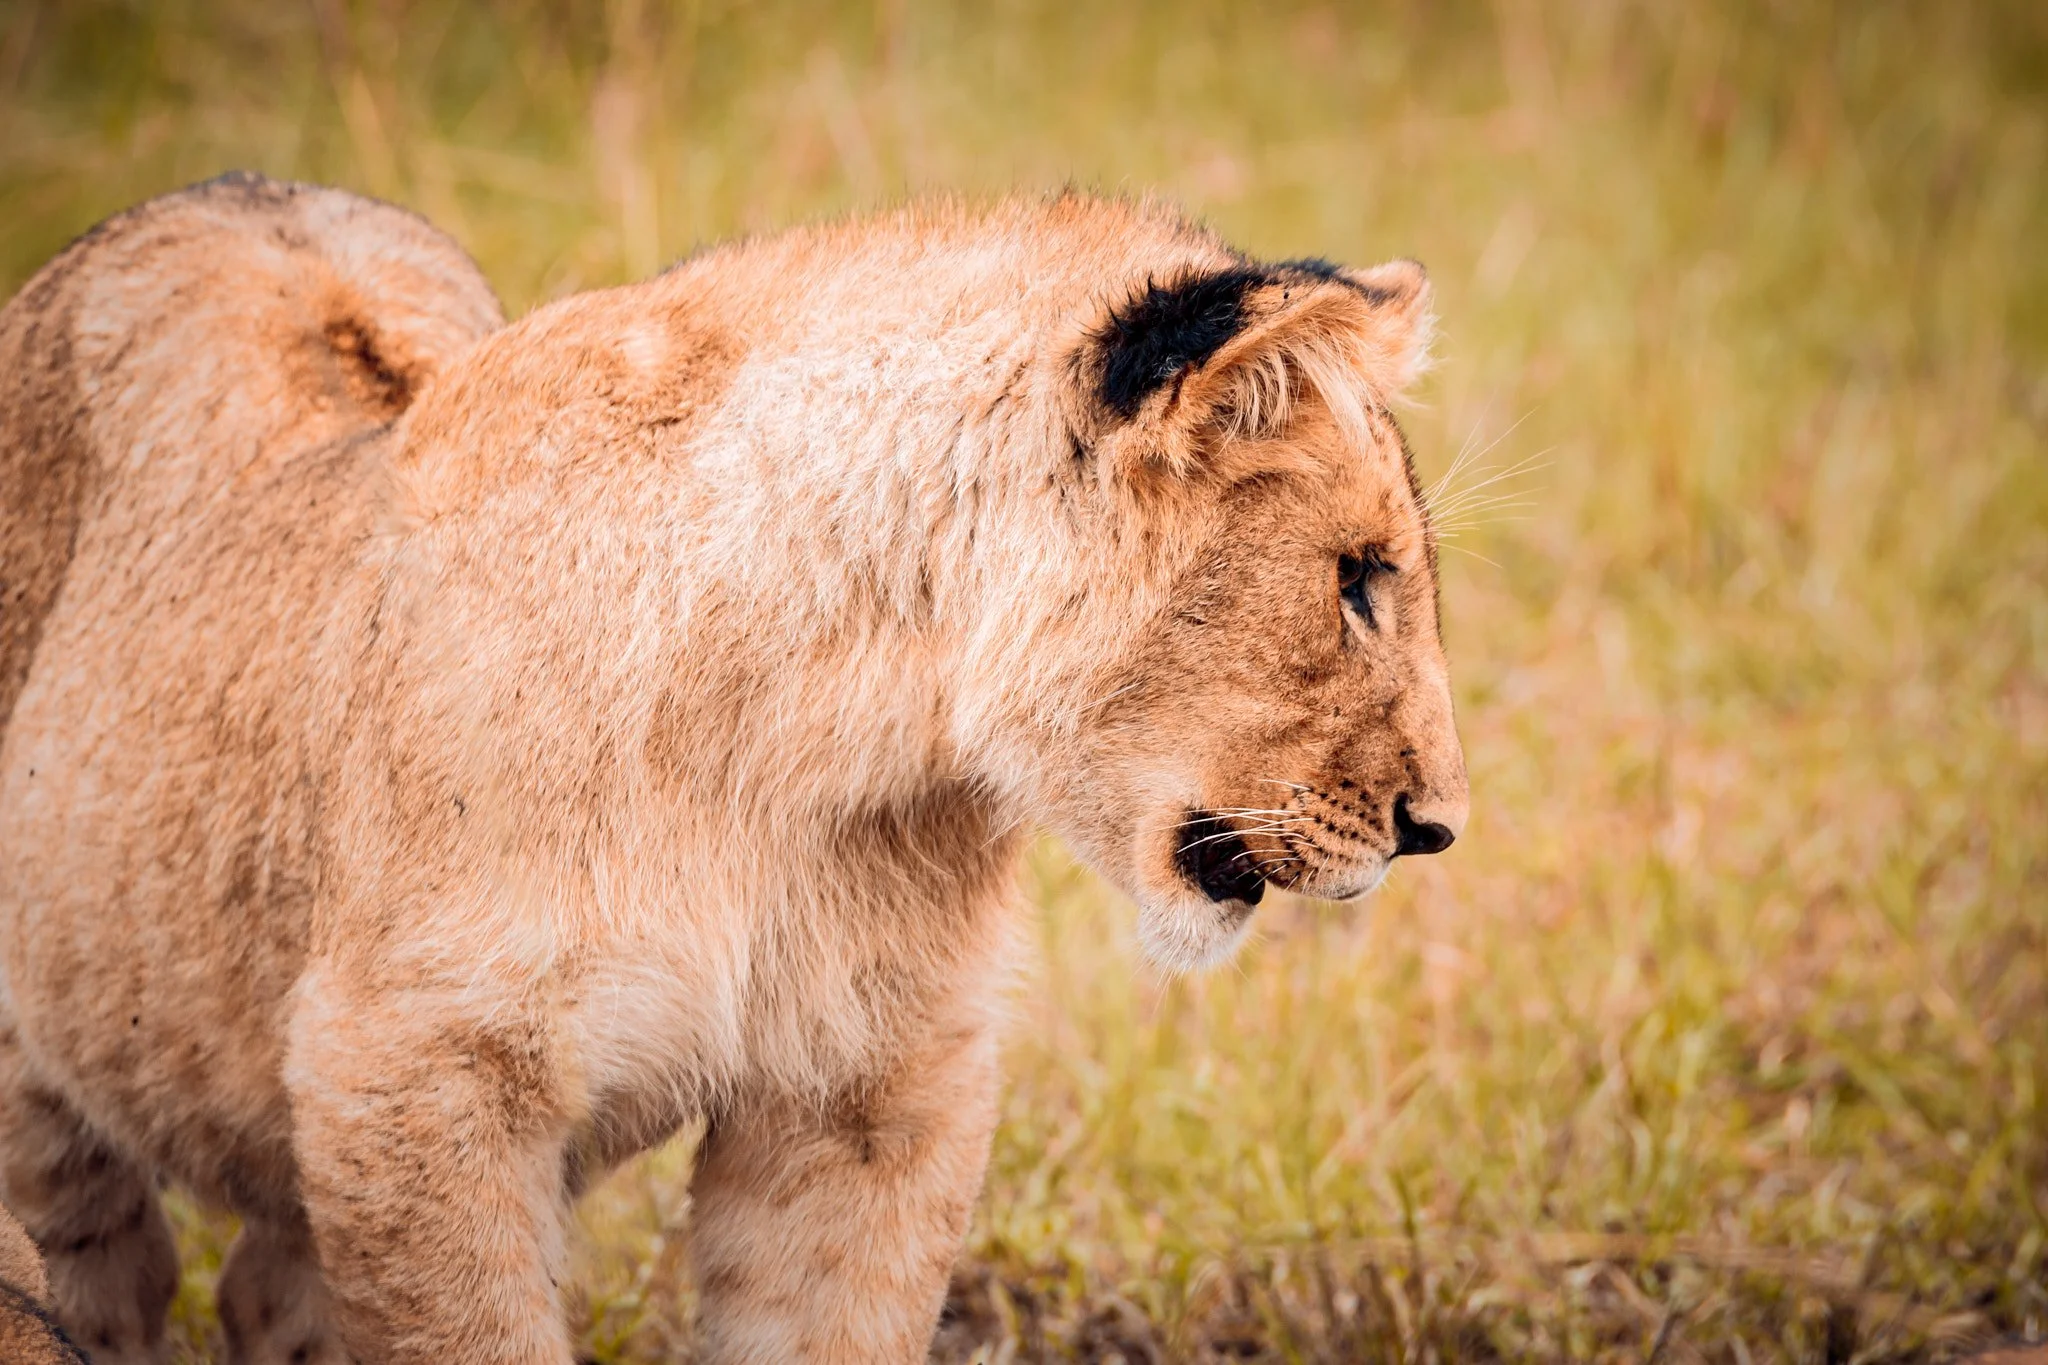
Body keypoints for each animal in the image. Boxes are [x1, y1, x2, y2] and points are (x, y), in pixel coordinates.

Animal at [0, 172, 1467, 1364]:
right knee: (104, 1271)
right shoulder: (414, 1074)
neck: (810, 740)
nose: (1438, 827)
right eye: (1356, 580)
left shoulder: (869, 1091)